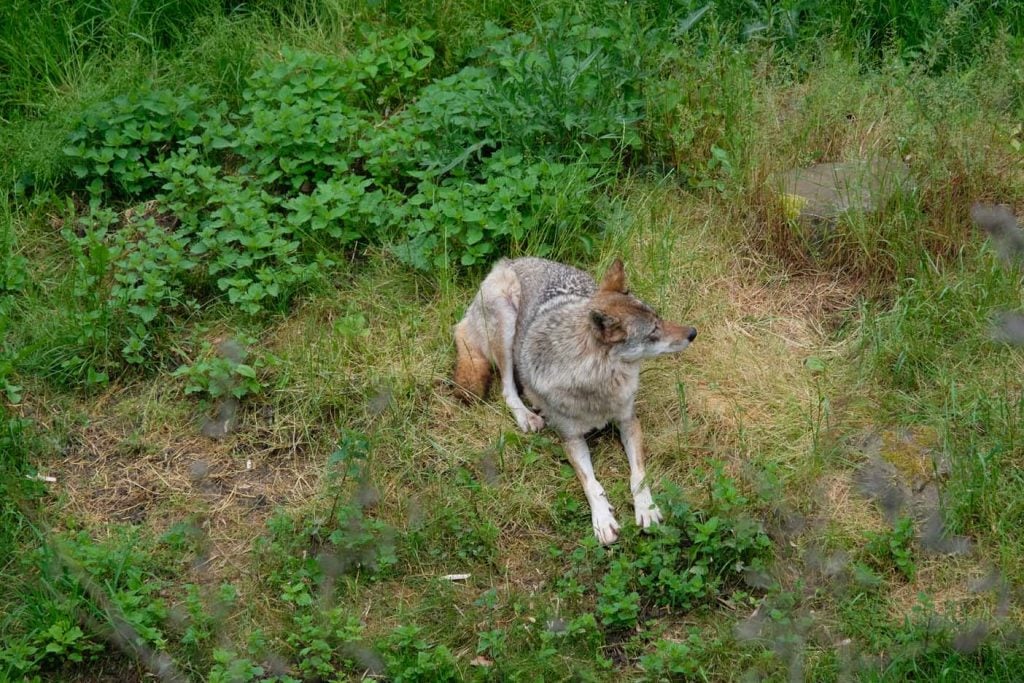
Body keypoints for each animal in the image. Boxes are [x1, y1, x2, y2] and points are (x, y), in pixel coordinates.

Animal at [454, 255, 696, 544]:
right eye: (653, 332)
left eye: (659, 318)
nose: (693, 332)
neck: (597, 380)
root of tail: (509, 261)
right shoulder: (571, 440)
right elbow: (591, 483)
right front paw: (603, 520)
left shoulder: (629, 421)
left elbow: (638, 475)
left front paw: (646, 509)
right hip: (506, 324)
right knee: (507, 387)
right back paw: (528, 416)